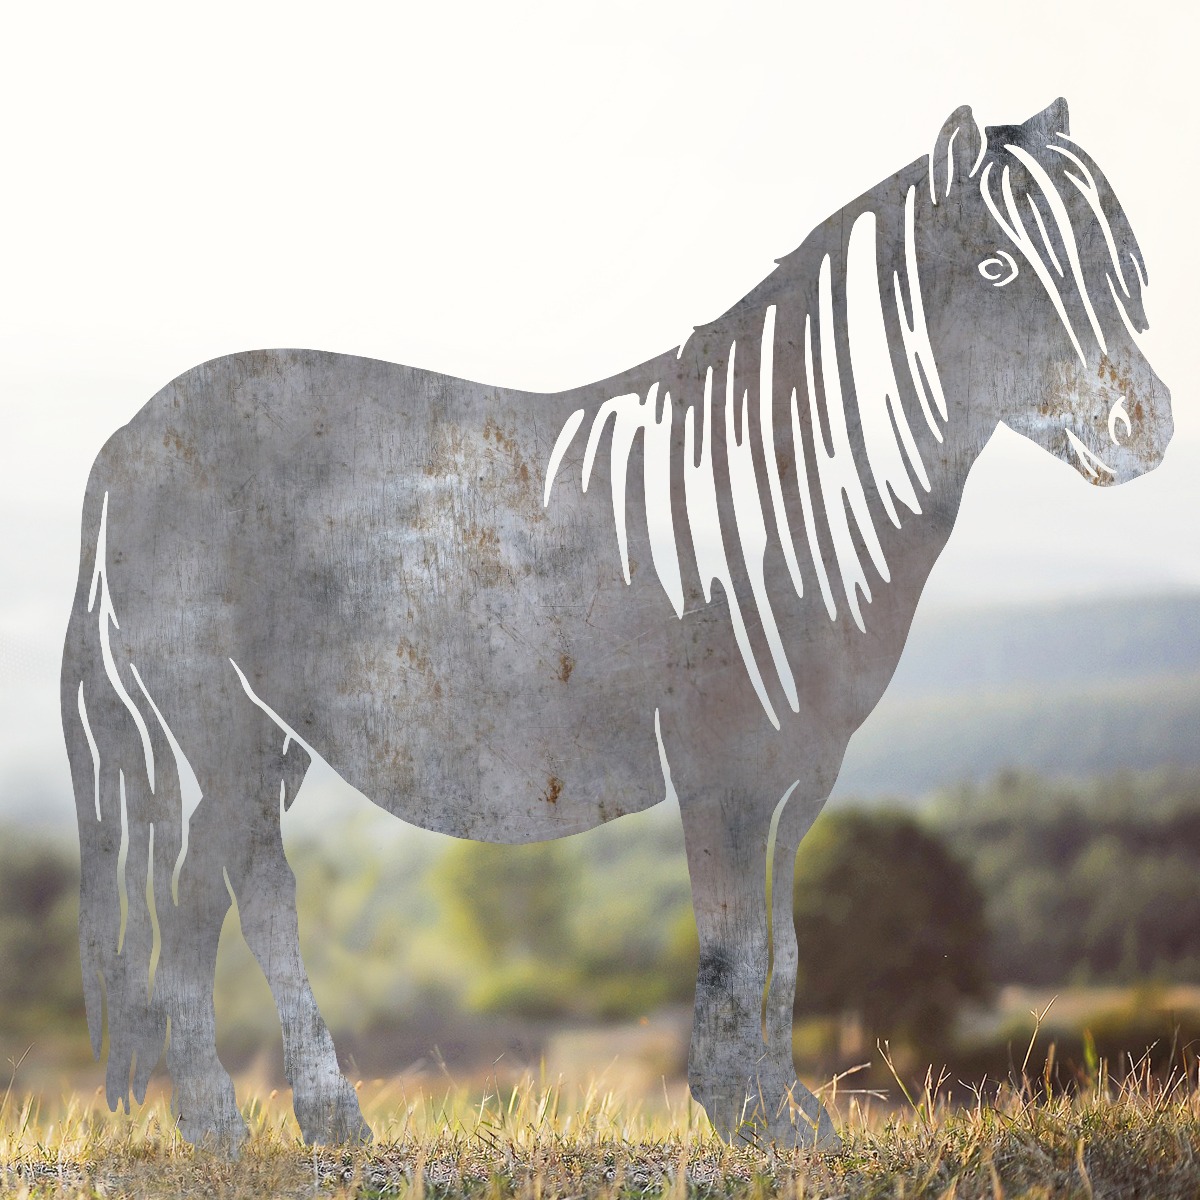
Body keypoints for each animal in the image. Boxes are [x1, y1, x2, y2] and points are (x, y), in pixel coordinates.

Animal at [60, 97, 1172, 1152]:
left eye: (1118, 256)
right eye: (995, 267)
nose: (1146, 429)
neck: (782, 495)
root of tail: (127, 434)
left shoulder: (804, 766)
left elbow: (785, 935)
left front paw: (791, 1118)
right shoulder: (722, 758)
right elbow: (735, 938)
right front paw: (738, 1114)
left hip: (264, 734)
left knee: (200, 887)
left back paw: (217, 1124)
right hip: (219, 714)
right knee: (256, 886)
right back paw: (314, 1116)